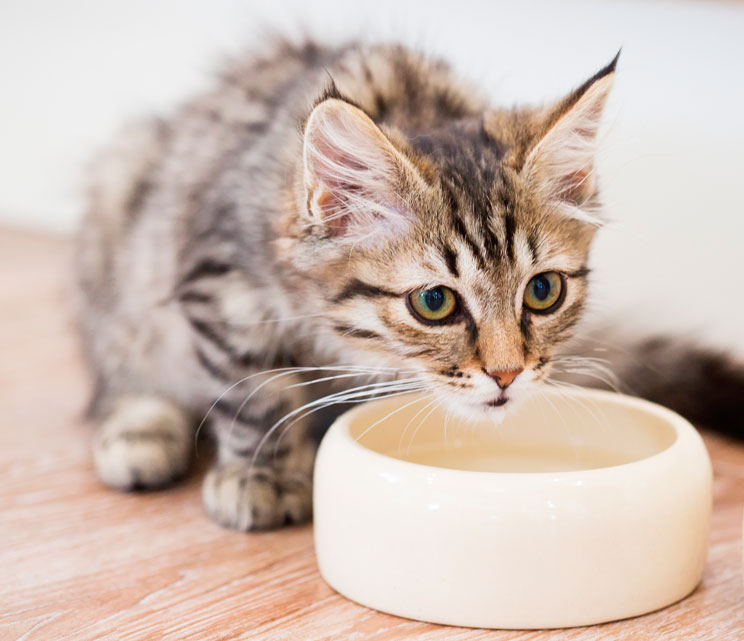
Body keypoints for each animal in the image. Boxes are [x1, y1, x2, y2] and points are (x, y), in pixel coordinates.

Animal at [71, 41, 732, 528]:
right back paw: (140, 432)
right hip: (116, 210)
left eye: (543, 292)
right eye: (434, 303)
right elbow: (257, 393)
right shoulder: (222, 287)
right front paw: (263, 477)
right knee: (115, 378)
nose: (508, 374)